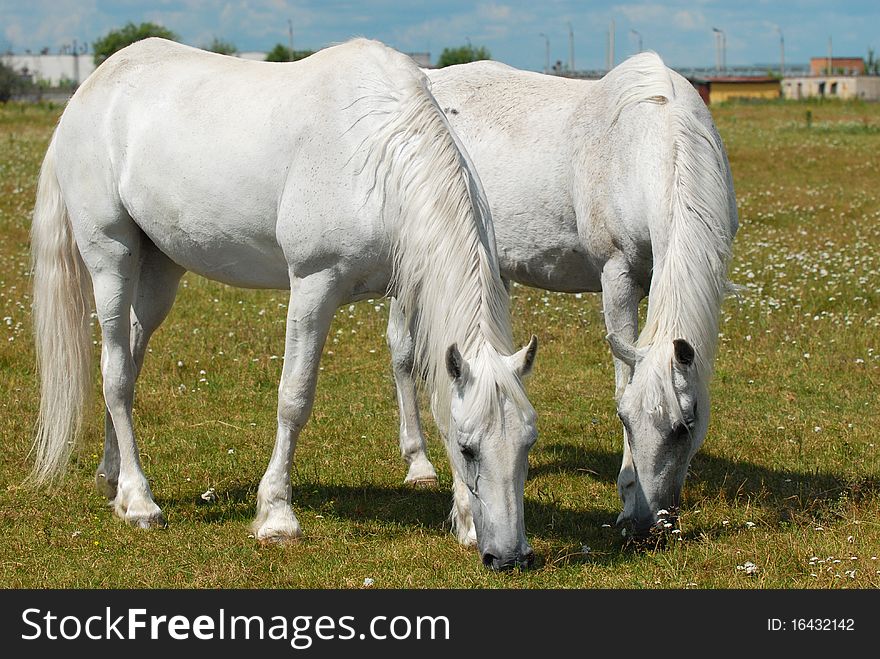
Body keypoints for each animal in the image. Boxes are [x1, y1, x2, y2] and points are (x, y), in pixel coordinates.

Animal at [29, 38, 536, 568]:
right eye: (469, 448)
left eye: (527, 446)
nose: (510, 558)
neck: (378, 149)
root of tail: (90, 89)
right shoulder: (314, 287)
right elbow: (294, 399)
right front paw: (276, 516)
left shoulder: (411, 290)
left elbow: (435, 393)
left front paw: (463, 520)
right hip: (111, 260)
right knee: (115, 374)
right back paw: (139, 501)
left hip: (157, 273)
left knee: (127, 363)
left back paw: (112, 480)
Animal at [388, 51, 740, 536]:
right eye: (625, 420)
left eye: (686, 425)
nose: (646, 525)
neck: (648, 144)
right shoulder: (618, 276)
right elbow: (622, 377)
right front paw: (626, 495)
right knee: (403, 353)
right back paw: (419, 465)